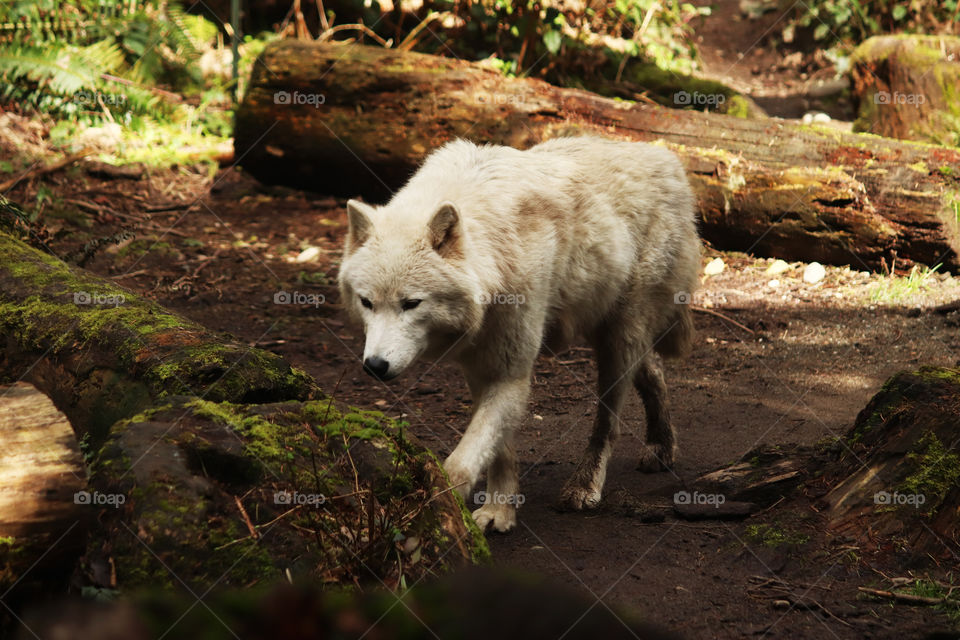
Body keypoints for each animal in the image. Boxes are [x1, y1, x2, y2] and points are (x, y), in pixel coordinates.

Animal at [338, 138, 696, 532]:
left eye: (411, 303)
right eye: (367, 302)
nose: (375, 366)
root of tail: (666, 157)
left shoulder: (511, 371)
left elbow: (460, 464)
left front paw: (448, 508)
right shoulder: (482, 367)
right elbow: (499, 451)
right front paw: (500, 511)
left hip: (618, 339)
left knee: (609, 421)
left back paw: (585, 486)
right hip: (607, 330)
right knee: (653, 371)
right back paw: (662, 448)